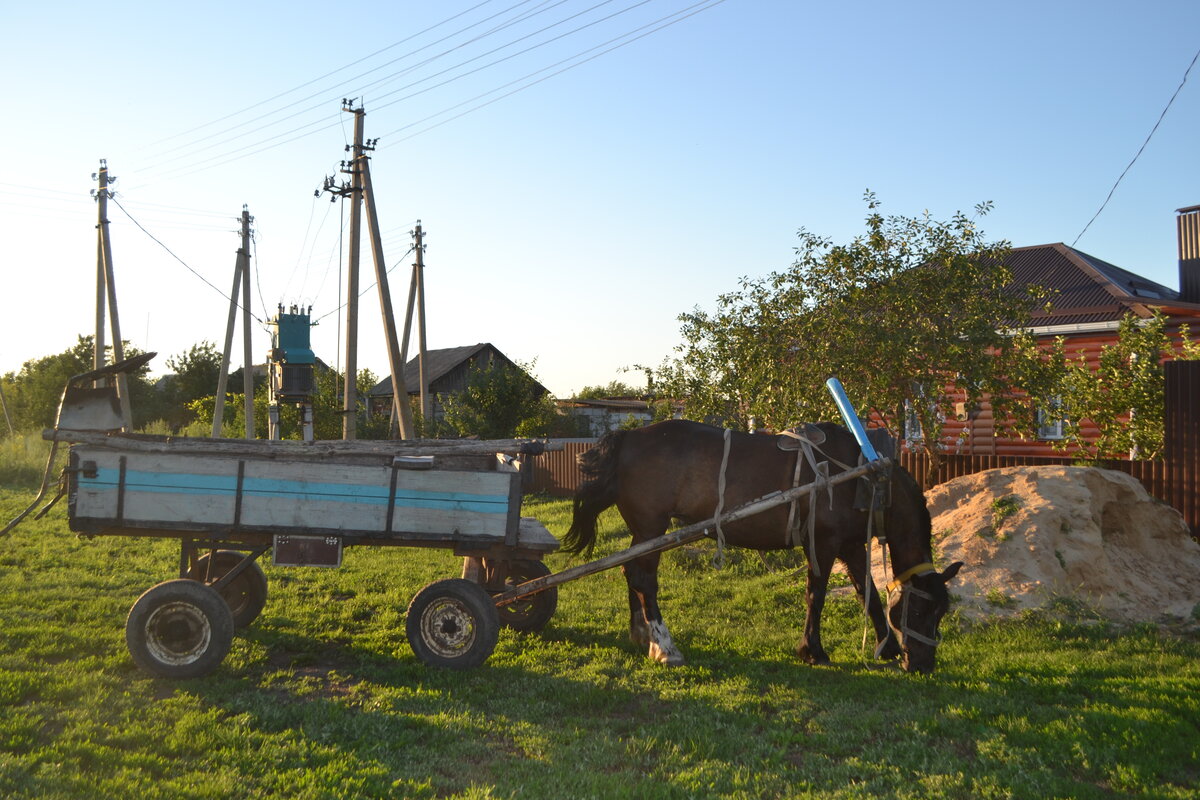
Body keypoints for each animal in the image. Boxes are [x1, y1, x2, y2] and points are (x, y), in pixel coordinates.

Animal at [561, 419, 964, 676]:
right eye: (920, 610)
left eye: (941, 612)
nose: (923, 665)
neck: (863, 474)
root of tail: (628, 437)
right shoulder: (823, 542)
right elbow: (816, 595)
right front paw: (813, 650)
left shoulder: (850, 545)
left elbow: (869, 594)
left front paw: (887, 647)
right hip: (650, 526)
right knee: (644, 579)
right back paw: (665, 646)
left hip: (644, 532)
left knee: (631, 571)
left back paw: (643, 635)